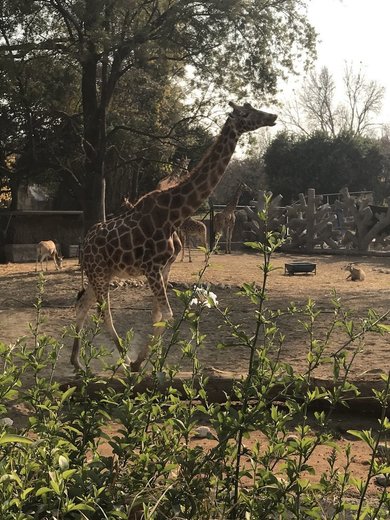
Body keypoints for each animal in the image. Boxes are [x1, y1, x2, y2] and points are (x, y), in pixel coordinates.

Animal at [71, 101, 278, 370]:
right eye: (245, 113)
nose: (272, 116)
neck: (173, 215)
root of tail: (84, 244)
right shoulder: (150, 268)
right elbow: (168, 314)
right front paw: (139, 362)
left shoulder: (164, 267)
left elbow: (157, 315)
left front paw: (153, 362)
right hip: (99, 273)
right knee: (104, 313)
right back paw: (124, 360)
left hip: (103, 273)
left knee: (83, 306)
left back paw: (76, 361)